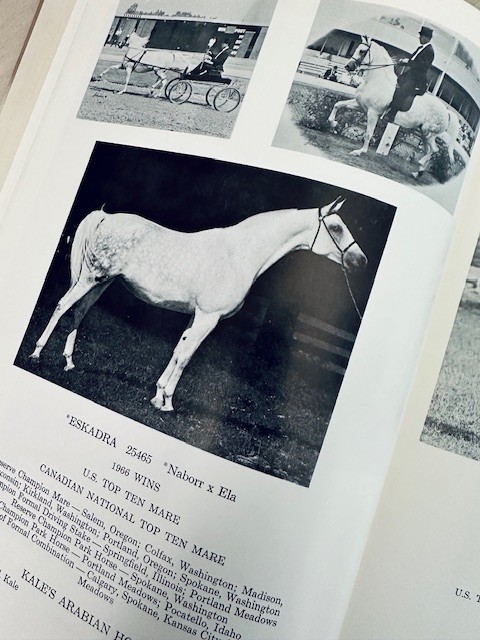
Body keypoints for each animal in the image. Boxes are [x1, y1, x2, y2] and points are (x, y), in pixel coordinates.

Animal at [29, 198, 366, 412]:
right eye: (336, 227)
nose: (360, 261)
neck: (240, 254)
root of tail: (107, 217)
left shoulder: (195, 317)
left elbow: (178, 350)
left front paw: (157, 395)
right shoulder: (208, 318)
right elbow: (186, 357)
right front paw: (167, 403)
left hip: (101, 282)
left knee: (79, 312)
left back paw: (69, 362)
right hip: (90, 278)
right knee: (62, 306)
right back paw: (37, 354)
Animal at [327, 37, 459, 178]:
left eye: (362, 51)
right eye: (357, 48)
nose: (348, 66)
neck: (376, 81)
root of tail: (447, 112)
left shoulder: (373, 113)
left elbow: (368, 133)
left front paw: (360, 151)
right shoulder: (360, 105)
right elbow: (337, 104)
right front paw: (334, 124)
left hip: (429, 133)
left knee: (434, 150)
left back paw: (420, 165)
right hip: (424, 133)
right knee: (429, 150)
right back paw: (418, 172)